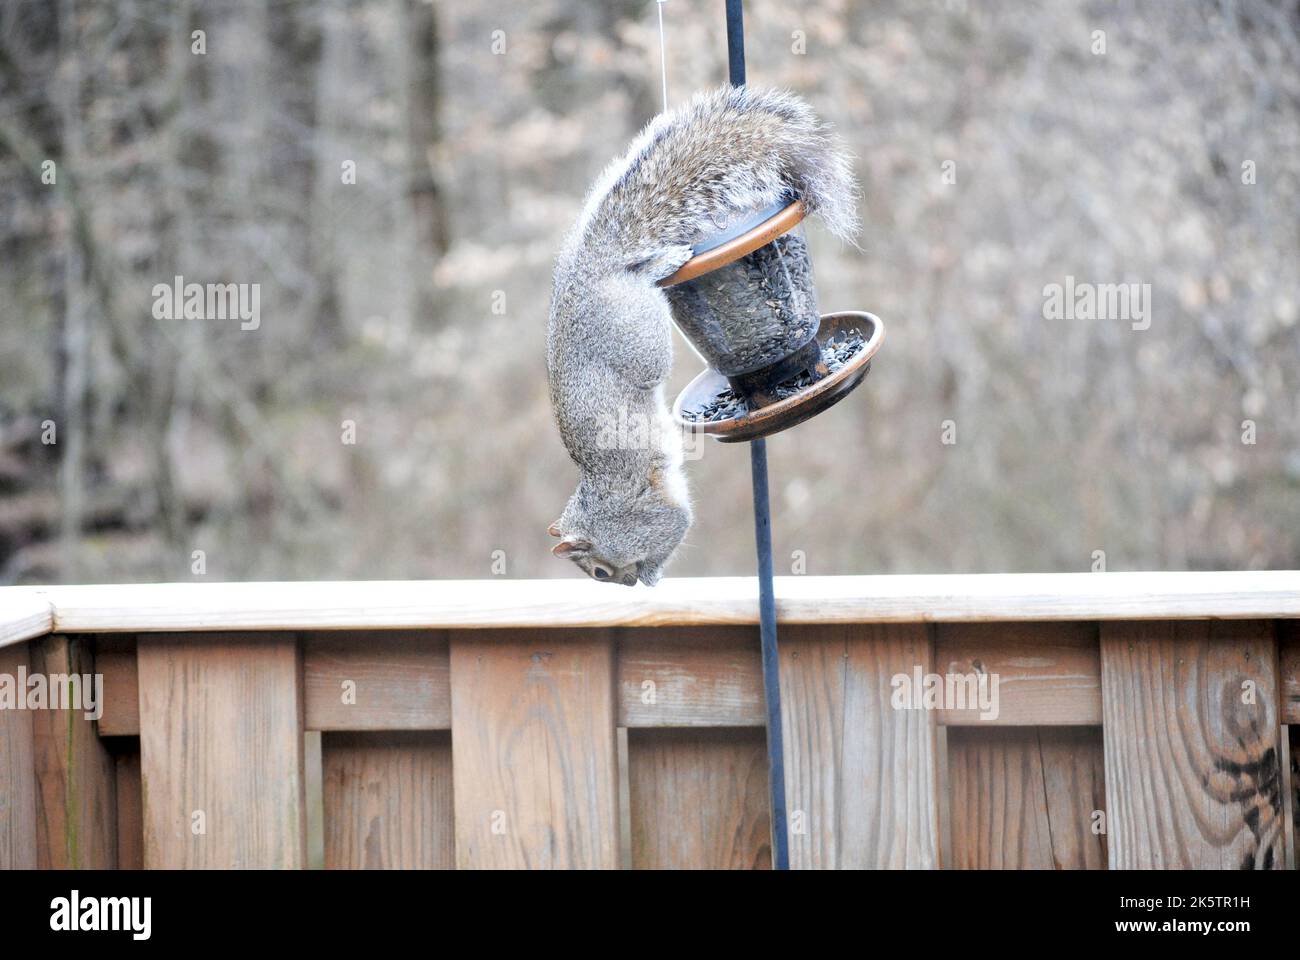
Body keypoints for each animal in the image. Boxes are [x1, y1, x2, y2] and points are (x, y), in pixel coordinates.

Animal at [543, 83, 857, 582]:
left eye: (599, 574)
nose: (626, 585)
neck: (599, 511)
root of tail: (588, 270)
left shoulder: (644, 518)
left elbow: (676, 523)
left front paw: (651, 575)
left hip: (637, 338)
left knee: (643, 289)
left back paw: (663, 264)